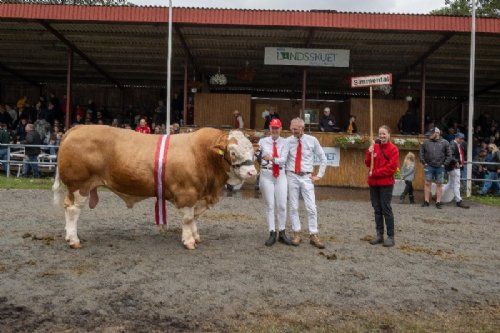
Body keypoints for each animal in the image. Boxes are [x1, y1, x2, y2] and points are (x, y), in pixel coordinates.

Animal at [53, 125, 258, 249]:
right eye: (232, 152)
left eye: (252, 151)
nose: (252, 173)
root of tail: (77, 128)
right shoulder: (187, 193)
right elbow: (188, 218)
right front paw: (189, 241)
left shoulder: (197, 195)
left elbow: (193, 218)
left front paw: (196, 236)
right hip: (79, 185)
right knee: (72, 210)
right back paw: (74, 240)